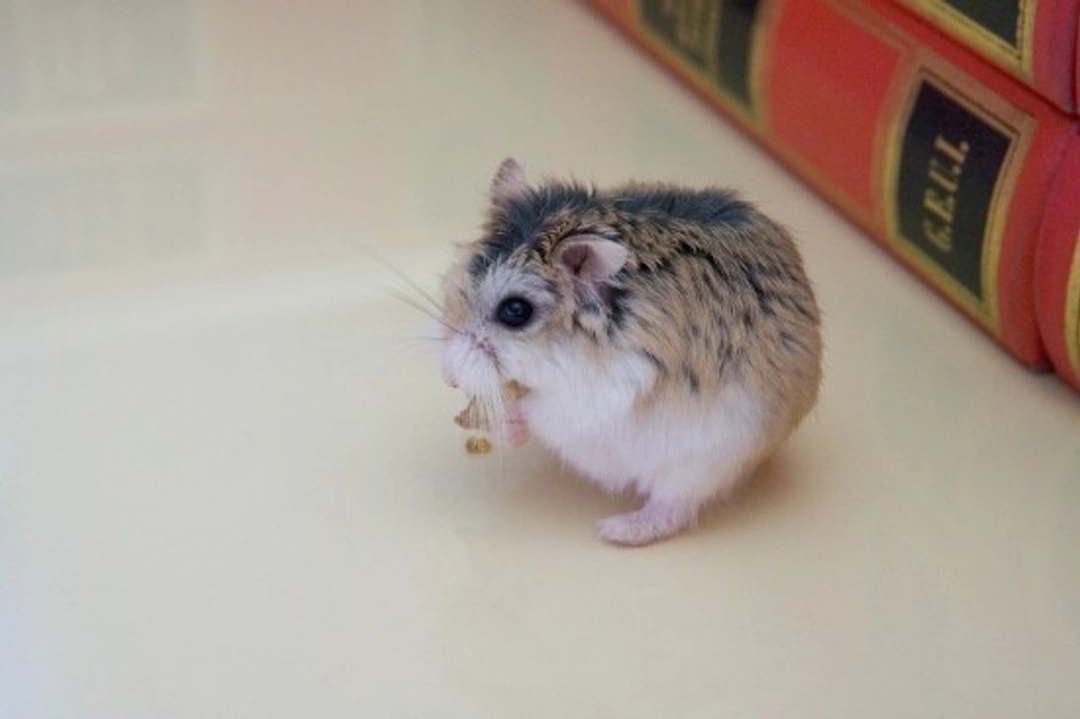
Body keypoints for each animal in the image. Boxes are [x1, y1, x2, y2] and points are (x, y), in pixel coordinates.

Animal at [438, 159, 822, 545]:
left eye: (515, 311)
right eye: (460, 284)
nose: (449, 380)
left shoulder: (601, 393)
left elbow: (540, 411)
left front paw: (503, 418)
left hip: (705, 465)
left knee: (674, 512)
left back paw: (615, 531)